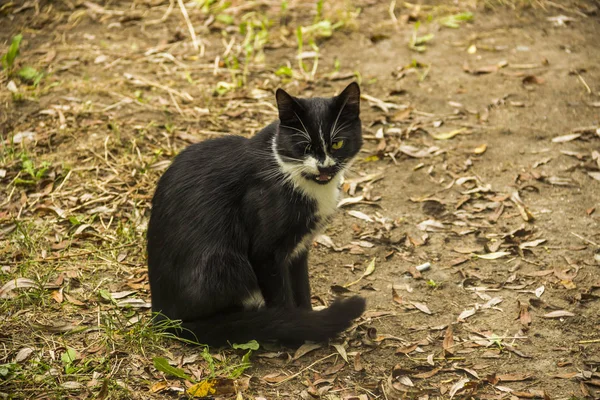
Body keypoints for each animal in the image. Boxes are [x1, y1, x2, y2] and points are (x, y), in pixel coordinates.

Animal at [149, 83, 366, 346]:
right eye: (304, 146)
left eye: (337, 144)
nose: (324, 166)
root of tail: (163, 318)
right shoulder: (266, 253)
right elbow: (282, 299)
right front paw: (297, 332)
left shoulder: (299, 248)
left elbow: (302, 286)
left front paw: (309, 320)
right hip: (226, 263)